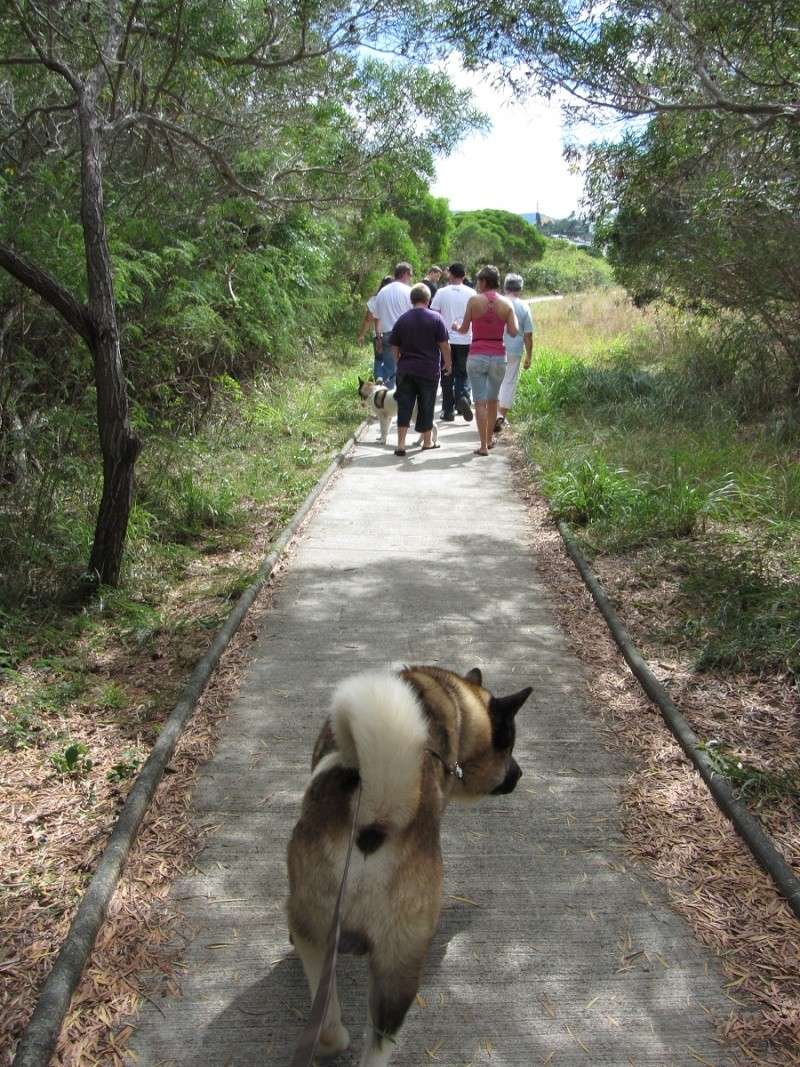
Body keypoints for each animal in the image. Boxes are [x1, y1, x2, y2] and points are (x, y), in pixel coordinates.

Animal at [288, 661, 533, 1062]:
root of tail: (376, 820)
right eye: (509, 746)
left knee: (331, 1023)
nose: (519, 774)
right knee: (377, 1039)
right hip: (396, 957)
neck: (457, 704)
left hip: (319, 933)